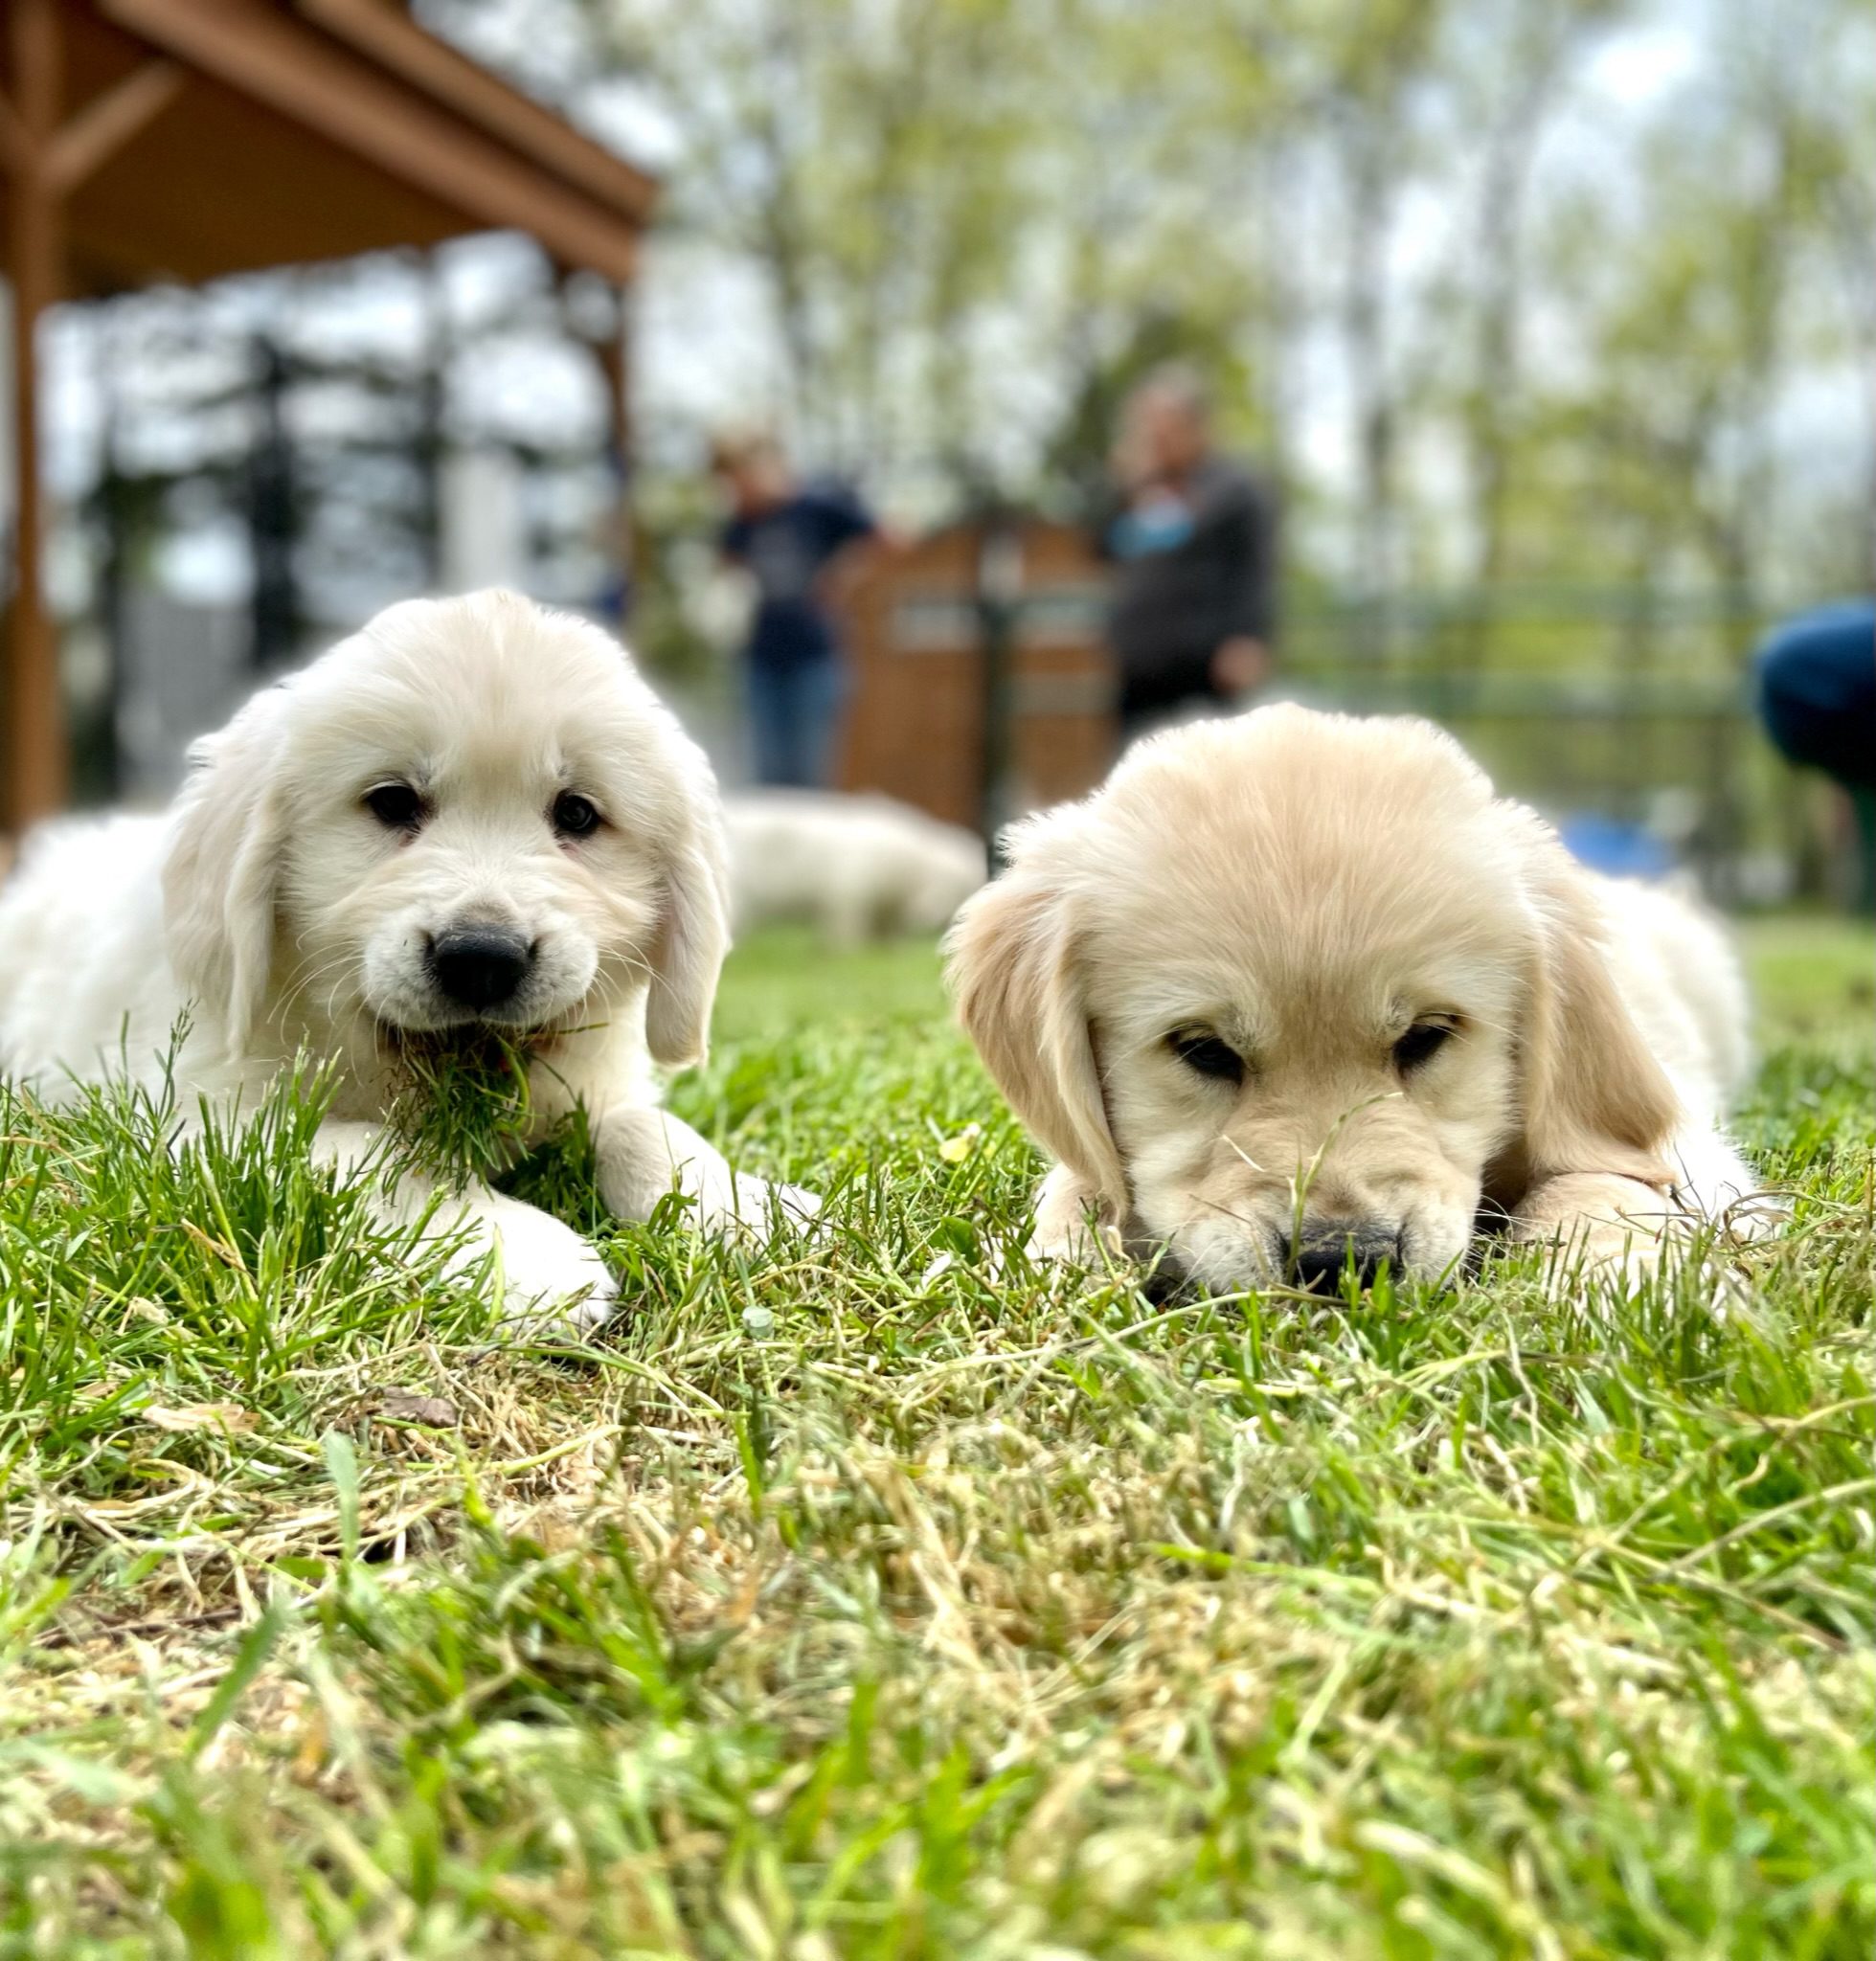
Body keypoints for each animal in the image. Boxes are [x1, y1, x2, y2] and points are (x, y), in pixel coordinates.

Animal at [0, 588, 807, 1325]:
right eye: (391, 802)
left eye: (577, 814)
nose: (482, 958)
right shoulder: (204, 1115)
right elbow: (373, 1148)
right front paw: (521, 1251)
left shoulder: (597, 1080)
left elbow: (646, 1125)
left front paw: (744, 1205)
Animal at [944, 710, 1764, 1301]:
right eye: (1202, 1049)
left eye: (1427, 1036)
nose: (1341, 1261)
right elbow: (1080, 1188)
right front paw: (1057, 1266)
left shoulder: (1671, 1142)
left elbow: (1596, 1180)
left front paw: (1619, 1279)